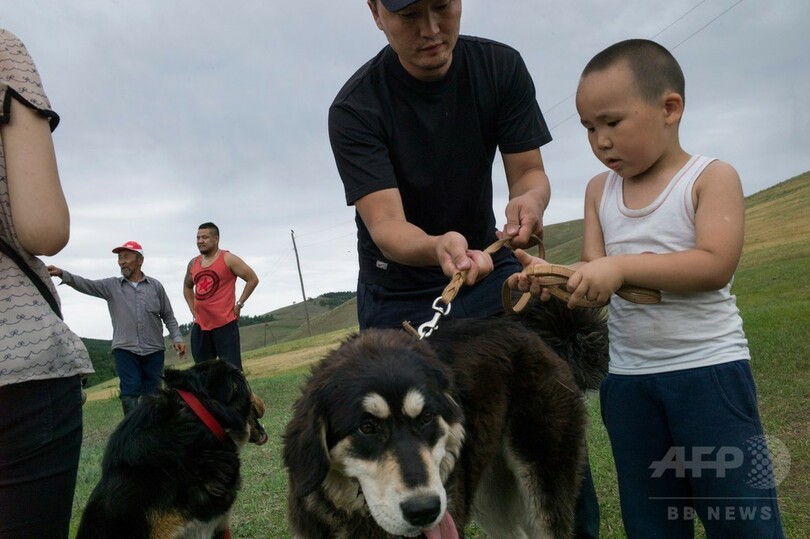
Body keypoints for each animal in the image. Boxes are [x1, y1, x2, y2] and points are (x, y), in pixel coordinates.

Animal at [280, 300, 604, 539]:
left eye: (426, 418)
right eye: (367, 427)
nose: (424, 510)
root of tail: (539, 336)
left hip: (541, 482)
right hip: (488, 491)